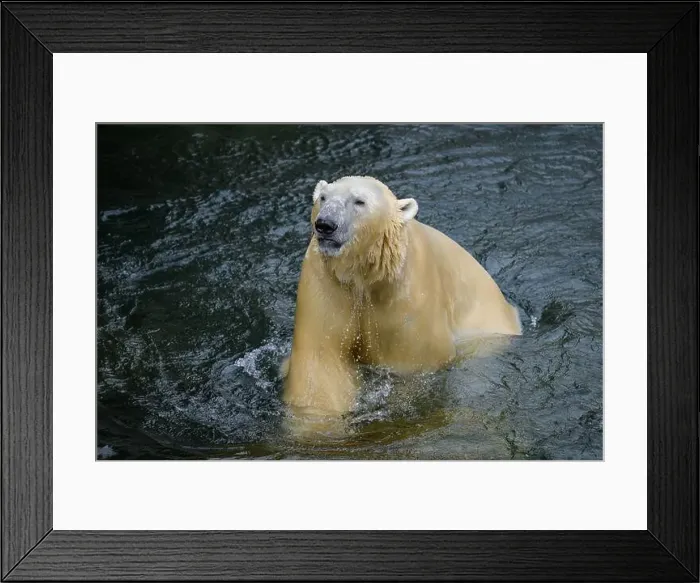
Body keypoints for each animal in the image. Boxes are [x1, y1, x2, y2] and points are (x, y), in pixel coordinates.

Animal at [282, 176, 521, 430]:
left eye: (359, 201)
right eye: (322, 198)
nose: (325, 224)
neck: (365, 277)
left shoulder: (407, 293)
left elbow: (409, 365)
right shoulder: (325, 281)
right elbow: (320, 362)